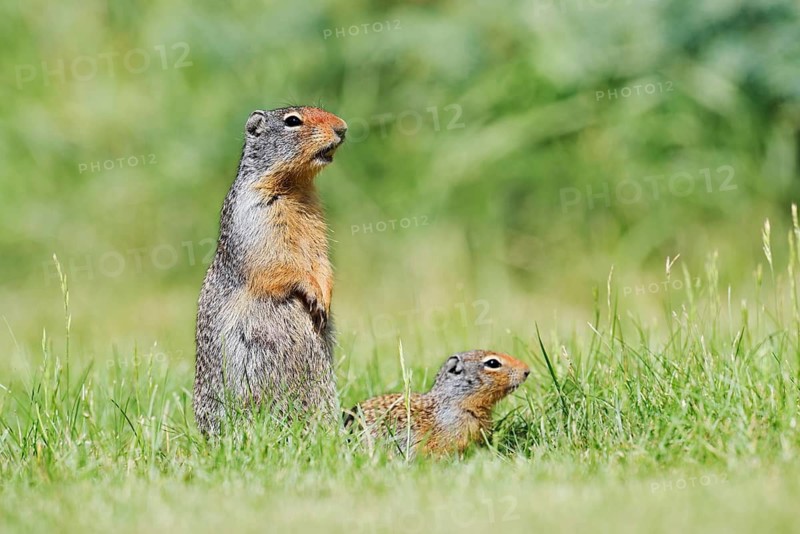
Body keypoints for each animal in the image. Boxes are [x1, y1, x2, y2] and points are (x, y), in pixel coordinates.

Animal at [193, 106, 347, 435]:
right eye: (292, 121)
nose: (343, 128)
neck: (295, 187)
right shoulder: (257, 215)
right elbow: (277, 263)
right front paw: (313, 295)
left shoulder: (317, 223)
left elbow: (321, 260)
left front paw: (325, 299)